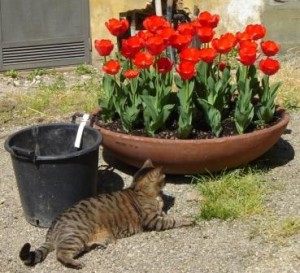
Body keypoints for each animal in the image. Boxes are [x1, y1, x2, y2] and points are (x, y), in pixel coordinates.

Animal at [19, 158, 192, 266]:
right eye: (164, 177)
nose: (167, 179)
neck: (139, 189)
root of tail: (53, 226)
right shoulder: (153, 220)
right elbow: (173, 220)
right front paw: (188, 219)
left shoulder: (158, 215)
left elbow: (167, 215)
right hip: (77, 234)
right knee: (60, 254)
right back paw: (76, 263)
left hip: (82, 239)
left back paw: (100, 243)